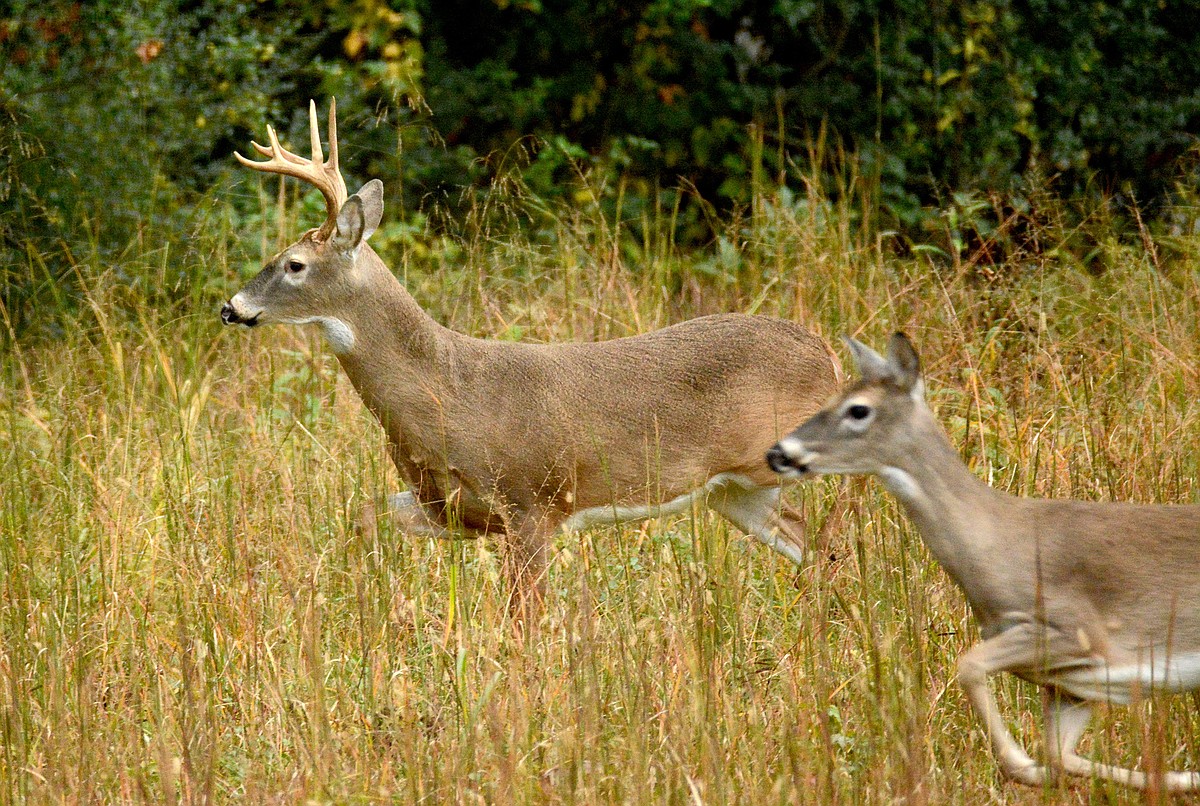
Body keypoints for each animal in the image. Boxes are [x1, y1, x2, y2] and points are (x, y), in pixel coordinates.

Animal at [219, 100, 842, 608]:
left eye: (294, 264)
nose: (230, 306)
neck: (447, 393)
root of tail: (829, 357)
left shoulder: (532, 503)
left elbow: (527, 617)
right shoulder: (448, 507)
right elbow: (362, 516)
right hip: (736, 492)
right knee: (814, 547)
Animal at [766, 332, 1200, 791]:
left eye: (858, 409)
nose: (778, 453)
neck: (997, 545)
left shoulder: (1079, 630)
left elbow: (968, 664)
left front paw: (1019, 761)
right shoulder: (1071, 686)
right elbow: (1060, 757)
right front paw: (1184, 777)